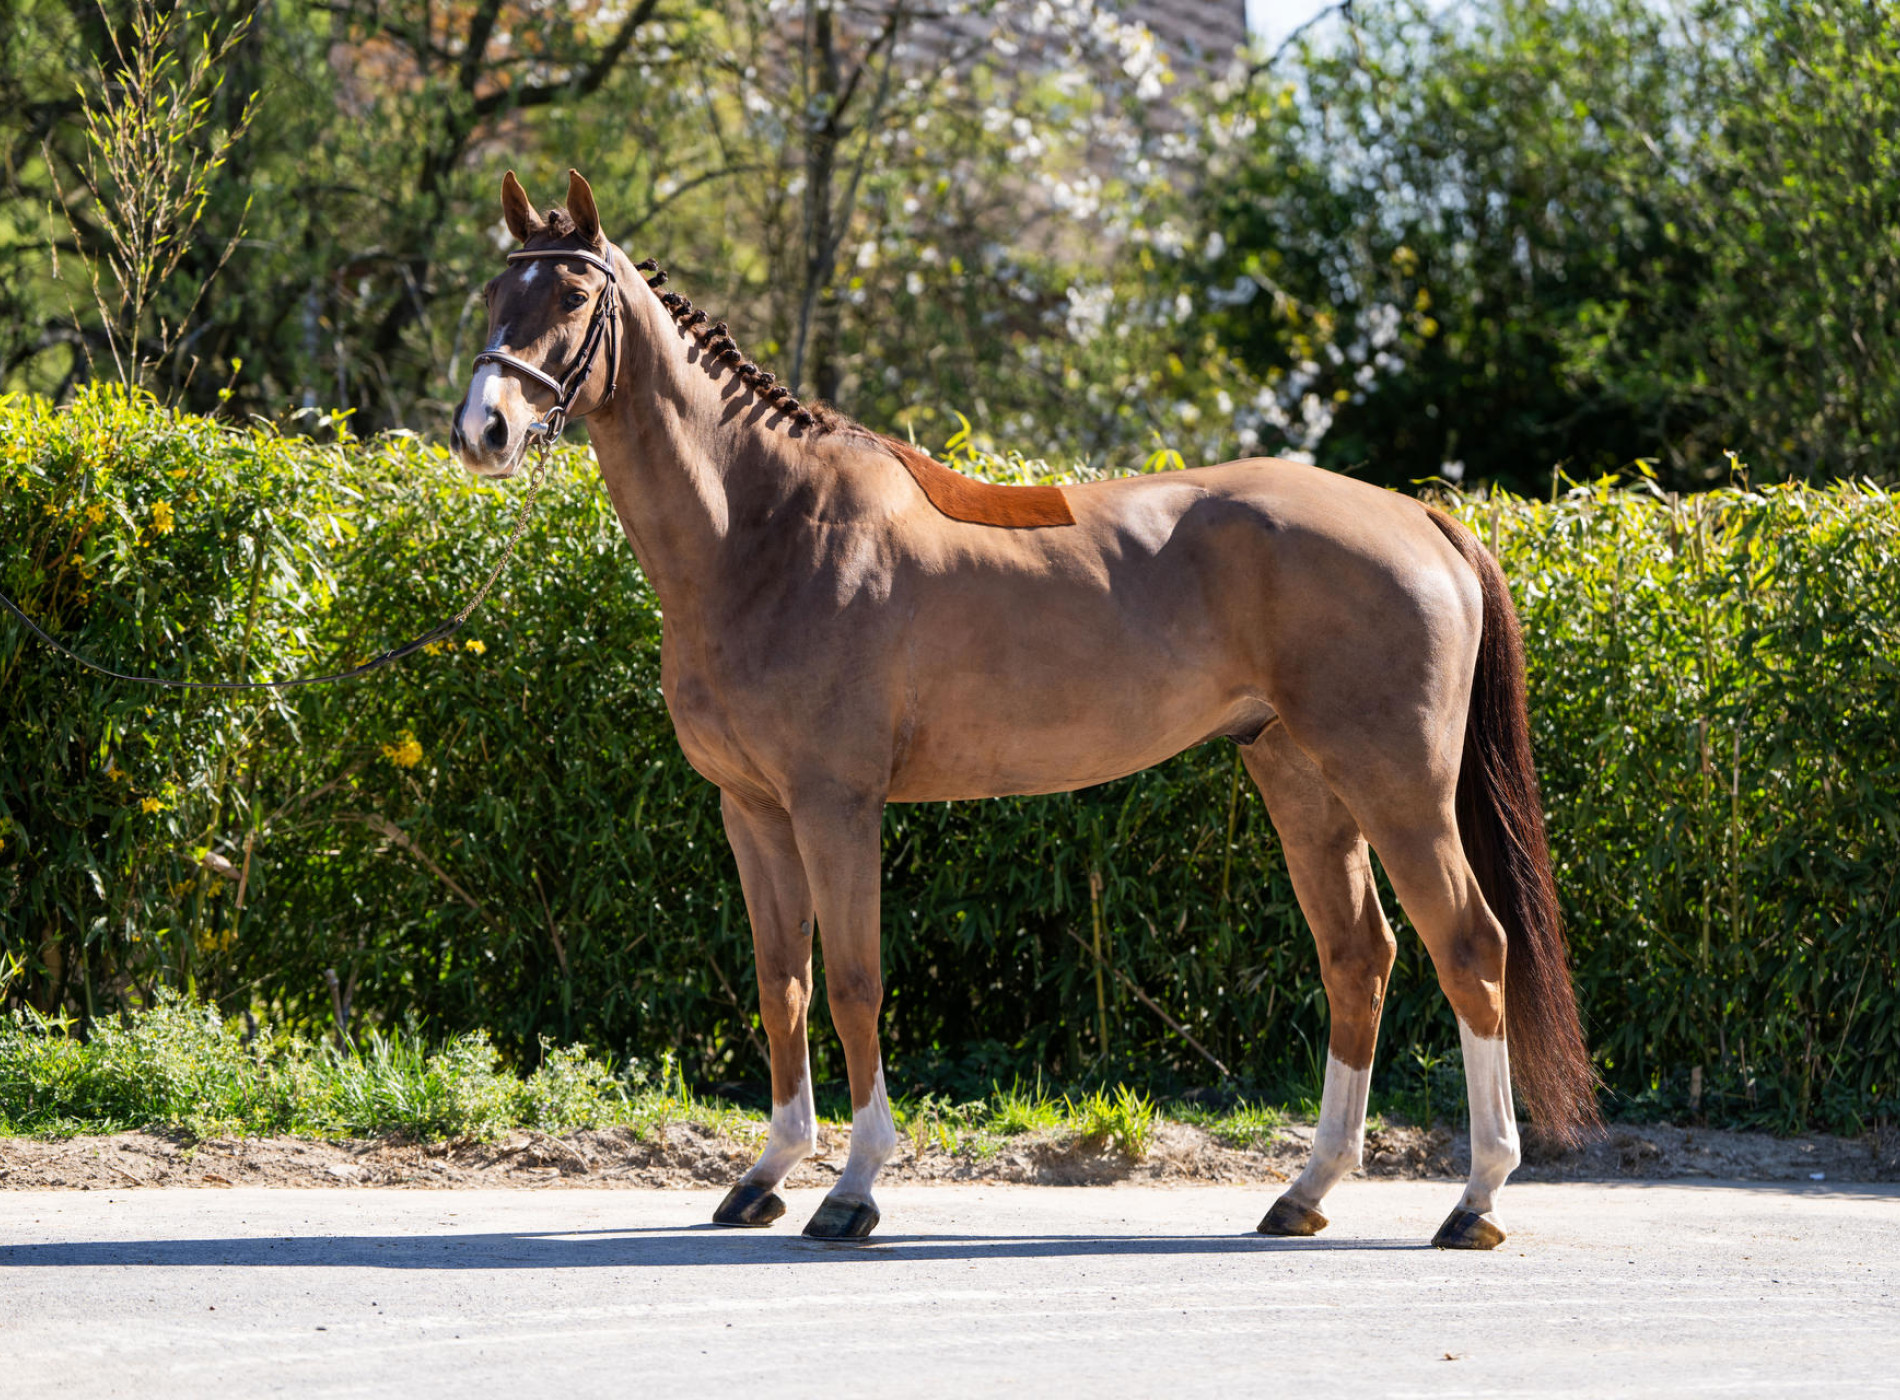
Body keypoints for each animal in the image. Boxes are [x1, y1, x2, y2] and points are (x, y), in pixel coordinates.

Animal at [452, 169, 1598, 1247]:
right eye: (496, 292)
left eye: (569, 293)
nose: (483, 430)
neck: (767, 529)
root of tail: (1418, 515)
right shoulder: (753, 810)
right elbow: (783, 982)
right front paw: (766, 1175)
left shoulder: (835, 804)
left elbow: (857, 981)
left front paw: (853, 1190)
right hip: (1299, 776)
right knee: (1358, 955)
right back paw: (1306, 1191)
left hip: (1397, 783)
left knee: (1470, 946)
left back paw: (1476, 1197)